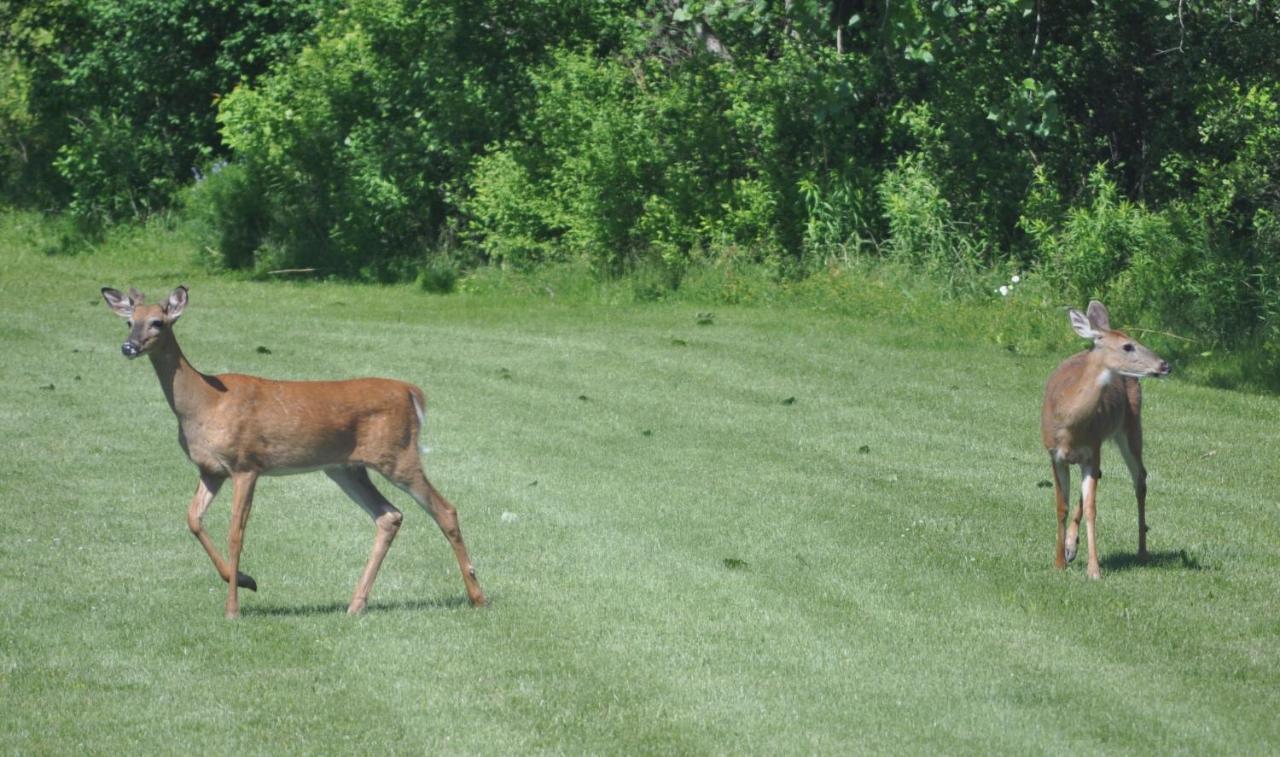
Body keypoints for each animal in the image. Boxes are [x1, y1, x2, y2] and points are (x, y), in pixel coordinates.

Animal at [101, 286, 483, 619]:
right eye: (129, 321)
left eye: (158, 322)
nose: (128, 347)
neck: (204, 404)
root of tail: (412, 391)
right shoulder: (211, 470)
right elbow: (193, 519)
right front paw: (247, 580)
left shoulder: (246, 463)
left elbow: (236, 534)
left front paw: (233, 609)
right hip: (345, 468)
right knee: (389, 515)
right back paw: (356, 604)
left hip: (398, 454)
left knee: (445, 509)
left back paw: (477, 595)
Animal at [1039, 302, 1172, 581]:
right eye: (1128, 346)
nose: (1165, 365)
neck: (1069, 424)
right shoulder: (1054, 454)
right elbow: (1061, 506)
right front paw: (1059, 562)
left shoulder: (1092, 449)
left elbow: (1092, 508)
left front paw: (1094, 569)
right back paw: (1070, 547)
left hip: (1130, 426)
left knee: (1140, 477)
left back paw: (1142, 551)